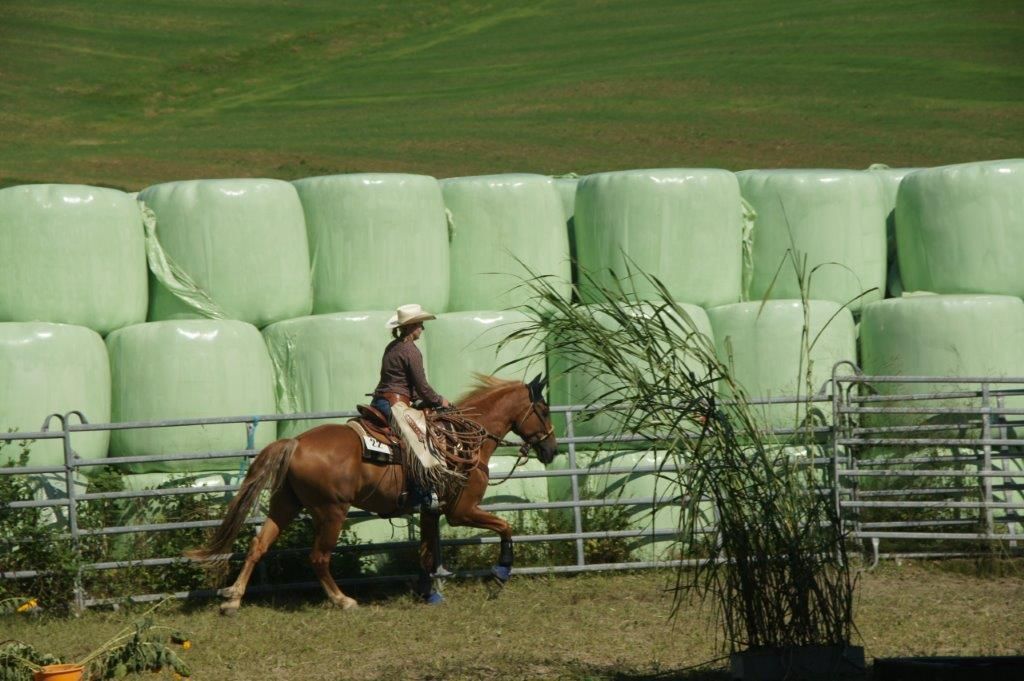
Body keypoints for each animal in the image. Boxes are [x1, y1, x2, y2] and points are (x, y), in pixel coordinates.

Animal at [186, 374, 558, 614]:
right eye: (544, 410)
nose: (552, 450)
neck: (462, 442)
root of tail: (296, 442)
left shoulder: (430, 510)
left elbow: (426, 553)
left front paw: (428, 594)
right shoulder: (461, 510)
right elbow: (505, 527)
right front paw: (500, 574)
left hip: (285, 504)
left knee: (258, 545)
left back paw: (233, 599)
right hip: (331, 512)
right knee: (318, 558)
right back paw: (344, 601)